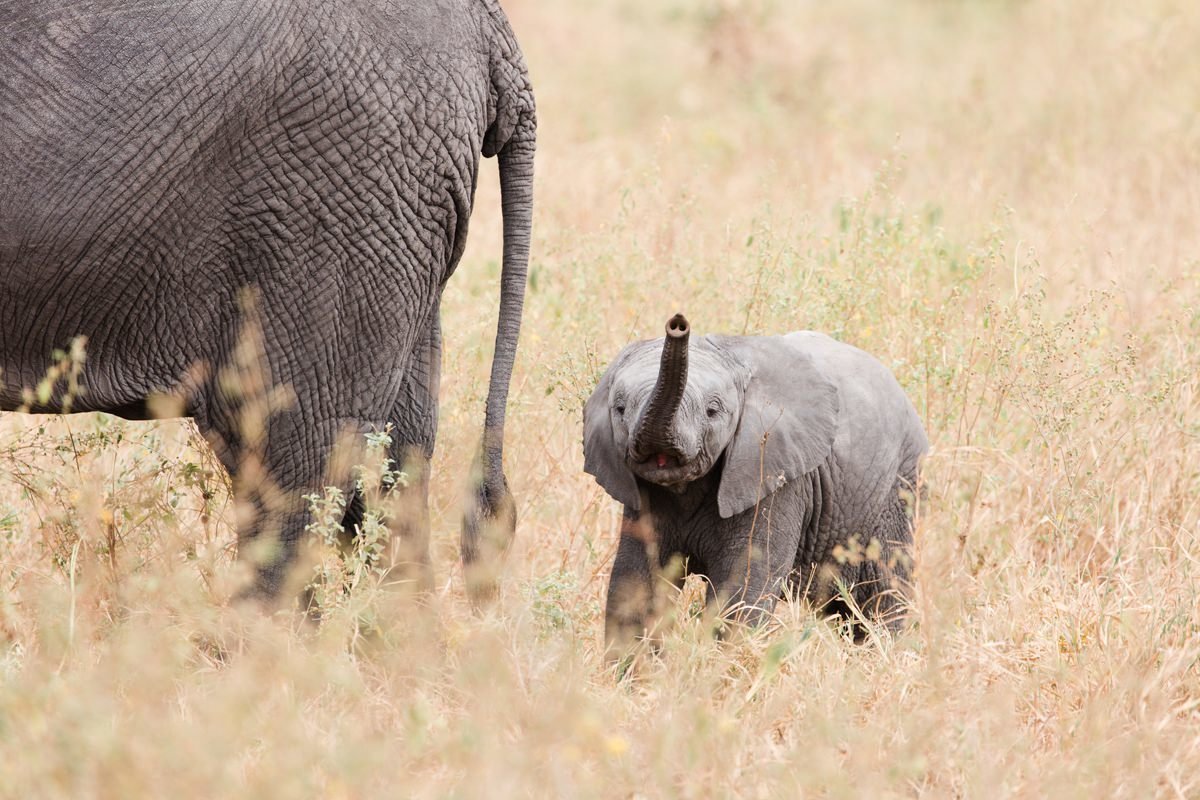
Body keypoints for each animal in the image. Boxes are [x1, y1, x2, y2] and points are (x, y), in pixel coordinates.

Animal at [585, 311, 931, 657]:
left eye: (712, 411)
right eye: (620, 410)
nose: (678, 323)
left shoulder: (775, 476)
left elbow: (743, 588)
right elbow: (635, 585)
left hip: (898, 490)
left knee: (881, 596)